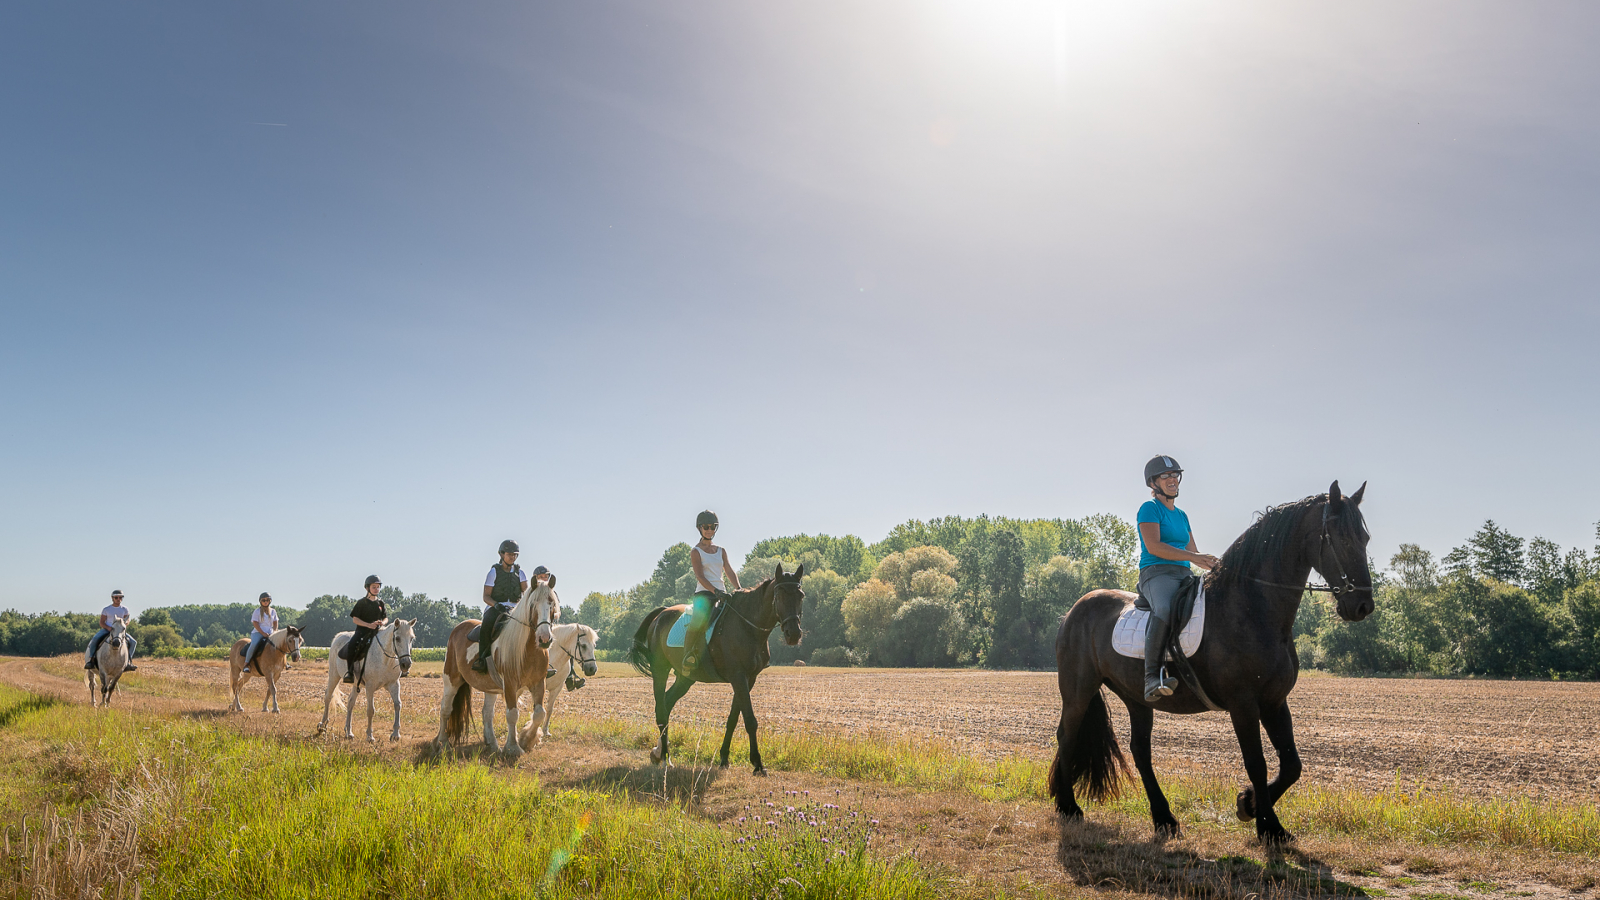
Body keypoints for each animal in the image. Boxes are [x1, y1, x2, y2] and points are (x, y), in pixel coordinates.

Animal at [438, 573, 556, 755]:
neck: (527, 648)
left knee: (487, 713)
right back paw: (443, 742)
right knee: (446, 708)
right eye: (533, 604)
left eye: (551, 604)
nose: (544, 639)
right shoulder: (510, 684)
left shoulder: (538, 683)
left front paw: (527, 739)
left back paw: (492, 743)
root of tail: (457, 629)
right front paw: (513, 747)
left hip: (490, 687)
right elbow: (512, 714)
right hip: (451, 680)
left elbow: (539, 714)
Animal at [624, 563, 800, 775]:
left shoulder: (748, 679)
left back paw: (658, 753)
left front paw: (724, 758)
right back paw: (666, 758)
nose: (794, 634)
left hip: (685, 677)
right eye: (779, 596)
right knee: (660, 708)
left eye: (800, 596)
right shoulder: (738, 677)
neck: (747, 626)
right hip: (660, 670)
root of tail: (662, 612)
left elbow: (733, 718)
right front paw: (758, 764)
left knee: (667, 702)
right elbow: (750, 720)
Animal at [1049, 480, 1376, 839]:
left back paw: (1163, 818)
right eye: (1341, 537)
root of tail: (1074, 610)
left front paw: (1249, 805)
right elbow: (1257, 763)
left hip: (1136, 698)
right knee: (1067, 736)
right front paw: (1268, 826)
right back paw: (1068, 806)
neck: (1251, 607)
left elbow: (1291, 764)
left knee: (1140, 751)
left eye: (1364, 538)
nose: (1362, 606)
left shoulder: (1274, 701)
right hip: (1078, 691)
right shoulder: (1243, 704)